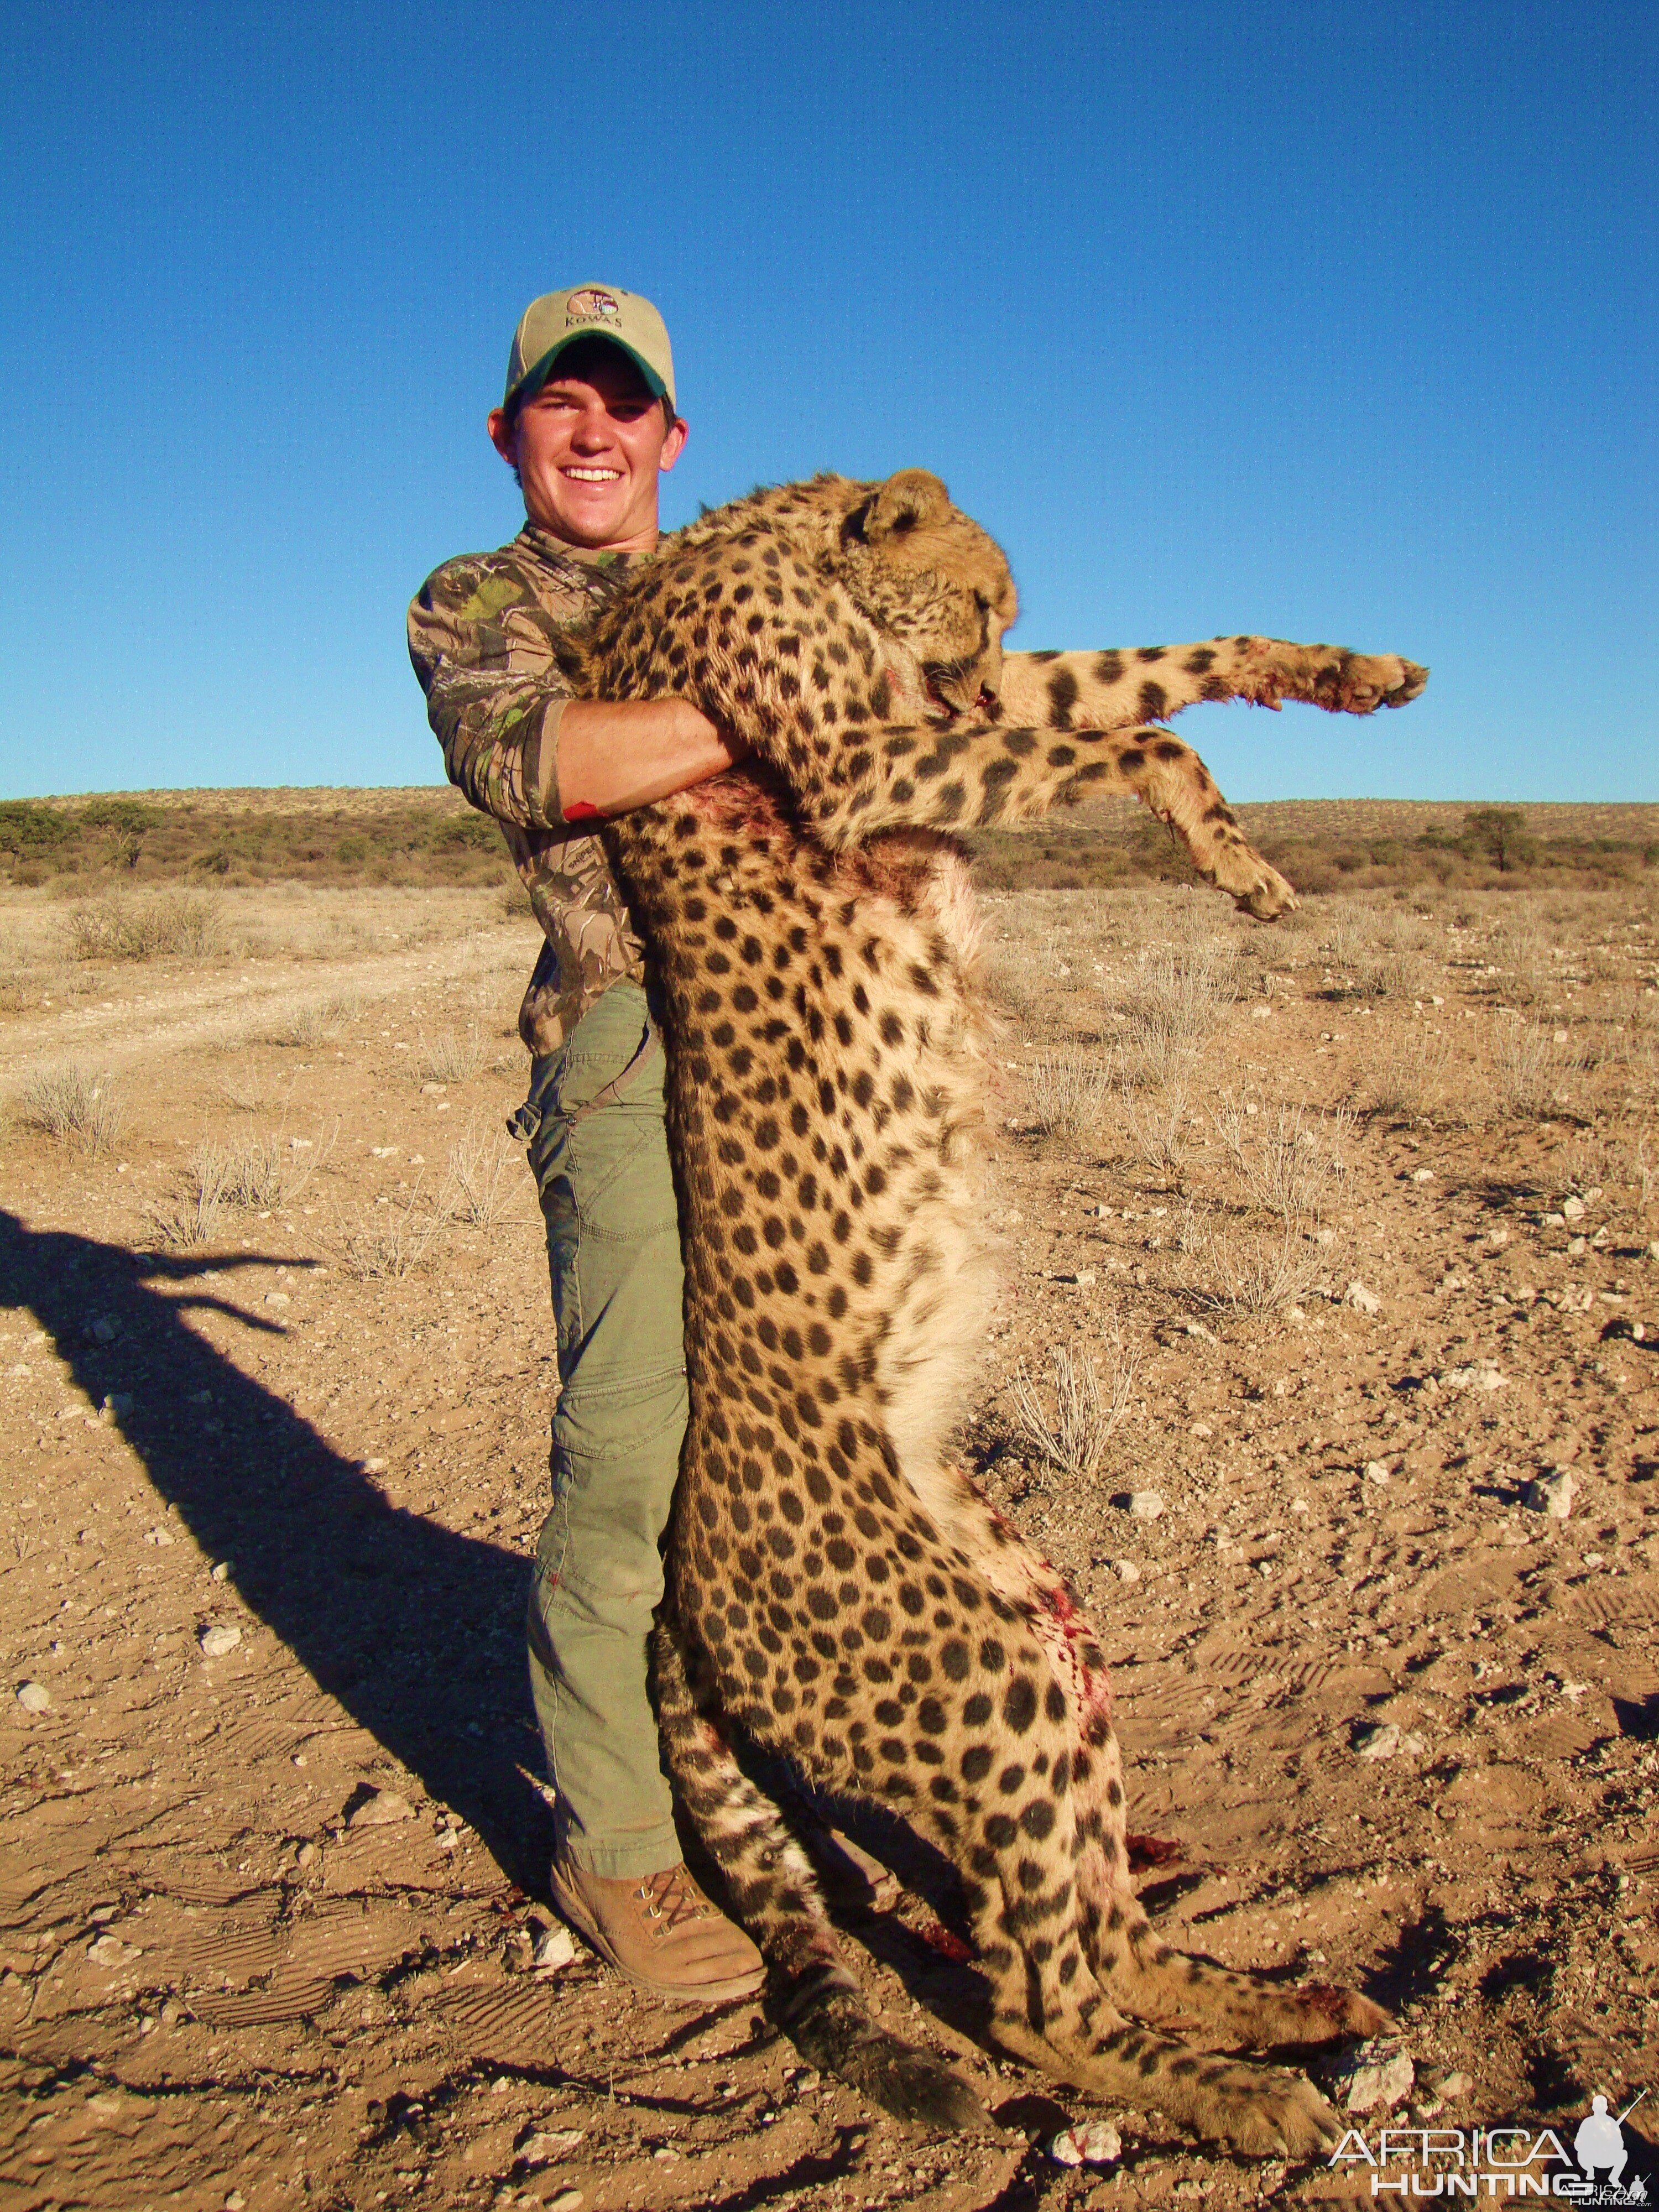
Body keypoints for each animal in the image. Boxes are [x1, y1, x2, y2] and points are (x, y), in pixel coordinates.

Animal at [555, 476, 1433, 2150]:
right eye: (972, 602)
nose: (966, 671)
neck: (782, 537)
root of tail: (678, 1594)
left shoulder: (966, 712)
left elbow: (1147, 674)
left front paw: (1343, 677)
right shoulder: (857, 759)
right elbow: (1142, 738)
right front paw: (1226, 839)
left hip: (1048, 1626)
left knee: (1099, 1929)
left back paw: (1269, 2009)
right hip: (987, 1677)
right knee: (1033, 1998)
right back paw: (1244, 2097)